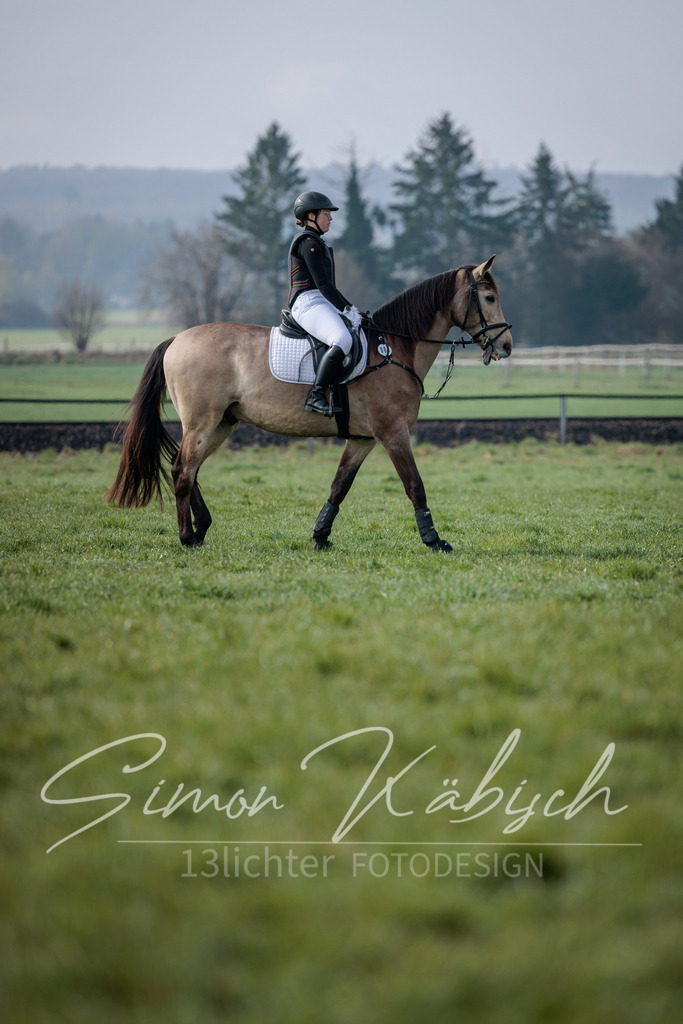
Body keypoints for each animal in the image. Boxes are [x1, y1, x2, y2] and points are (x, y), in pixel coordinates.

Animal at [105, 255, 512, 552]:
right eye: (489, 298)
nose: (507, 346)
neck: (395, 348)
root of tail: (175, 339)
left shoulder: (363, 439)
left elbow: (339, 486)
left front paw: (320, 536)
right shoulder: (393, 432)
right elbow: (415, 485)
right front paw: (434, 541)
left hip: (221, 423)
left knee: (186, 467)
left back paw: (201, 528)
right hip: (203, 423)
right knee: (183, 471)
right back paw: (187, 537)